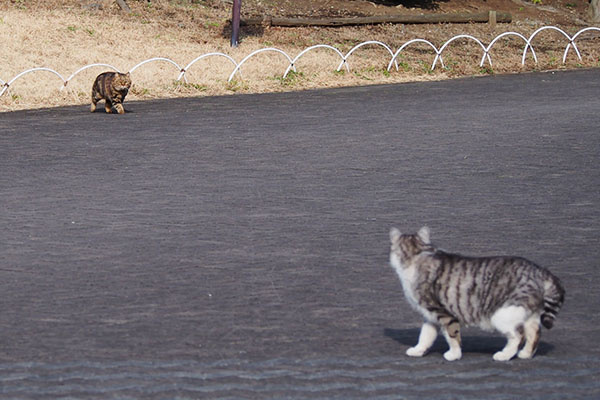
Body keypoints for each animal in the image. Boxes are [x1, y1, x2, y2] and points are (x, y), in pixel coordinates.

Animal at [386, 227, 564, 360]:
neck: (417, 255)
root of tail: (540, 270)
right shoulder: (430, 317)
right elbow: (425, 336)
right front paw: (418, 350)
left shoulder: (443, 313)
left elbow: (452, 336)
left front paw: (454, 355)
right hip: (528, 313)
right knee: (534, 333)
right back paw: (525, 354)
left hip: (503, 314)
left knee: (518, 335)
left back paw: (504, 355)